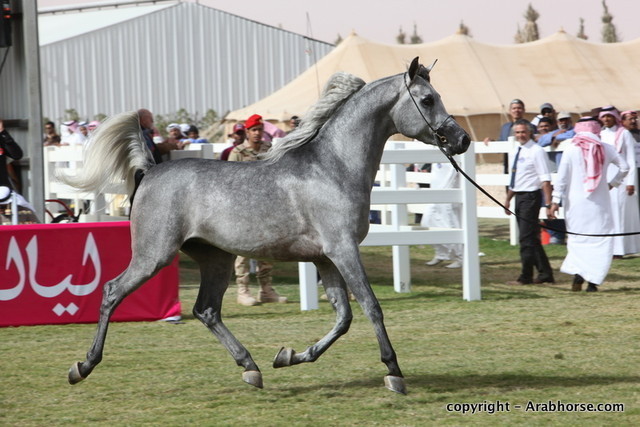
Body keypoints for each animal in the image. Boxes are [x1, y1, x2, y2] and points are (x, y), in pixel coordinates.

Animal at [64, 57, 470, 394]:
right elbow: (371, 307)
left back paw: (251, 368)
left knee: (206, 310)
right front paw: (394, 372)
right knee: (112, 292)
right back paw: (82, 366)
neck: (333, 168)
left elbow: (343, 317)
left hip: (216, 258)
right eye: (427, 99)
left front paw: (288, 356)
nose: (462, 139)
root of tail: (150, 169)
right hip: (154, 255)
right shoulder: (343, 250)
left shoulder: (325, 259)